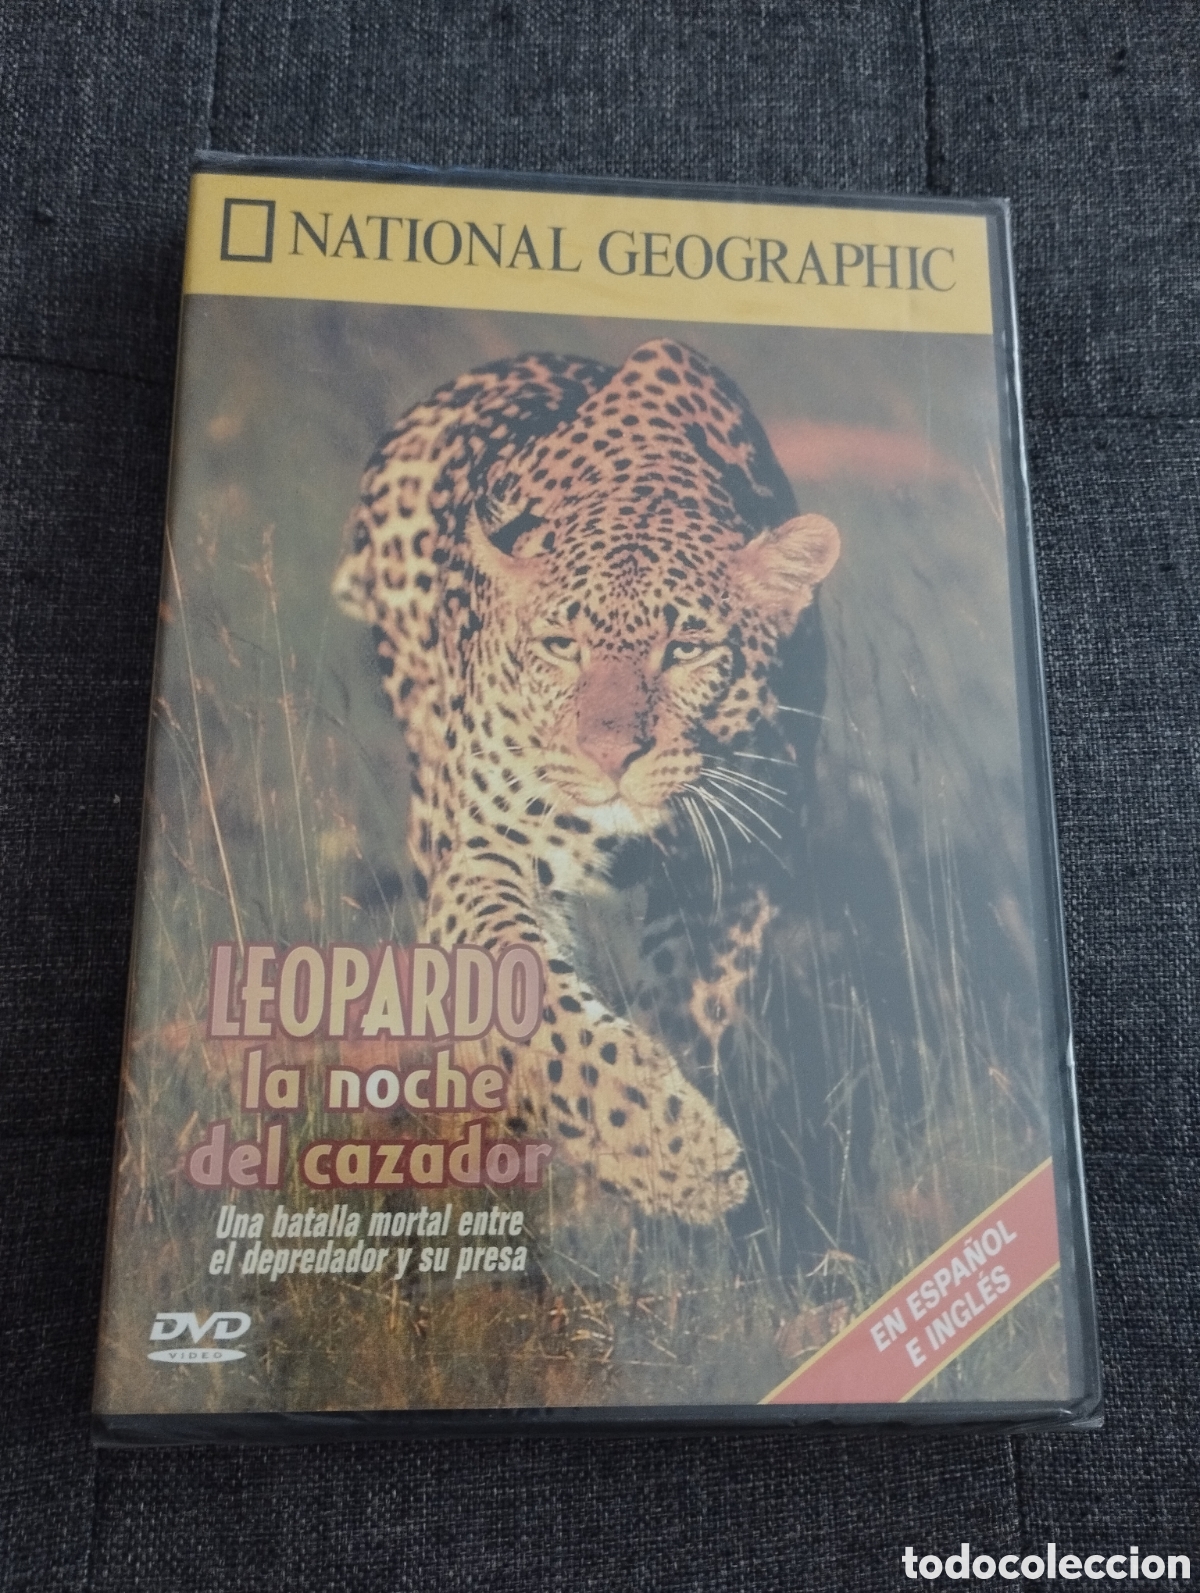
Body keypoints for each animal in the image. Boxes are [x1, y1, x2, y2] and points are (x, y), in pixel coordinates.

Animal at [333, 335, 839, 1225]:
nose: (610, 754)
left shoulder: (739, 867)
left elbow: (691, 1011)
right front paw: (678, 1156)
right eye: (561, 646)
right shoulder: (487, 853)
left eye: (686, 650)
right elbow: (539, 1011)